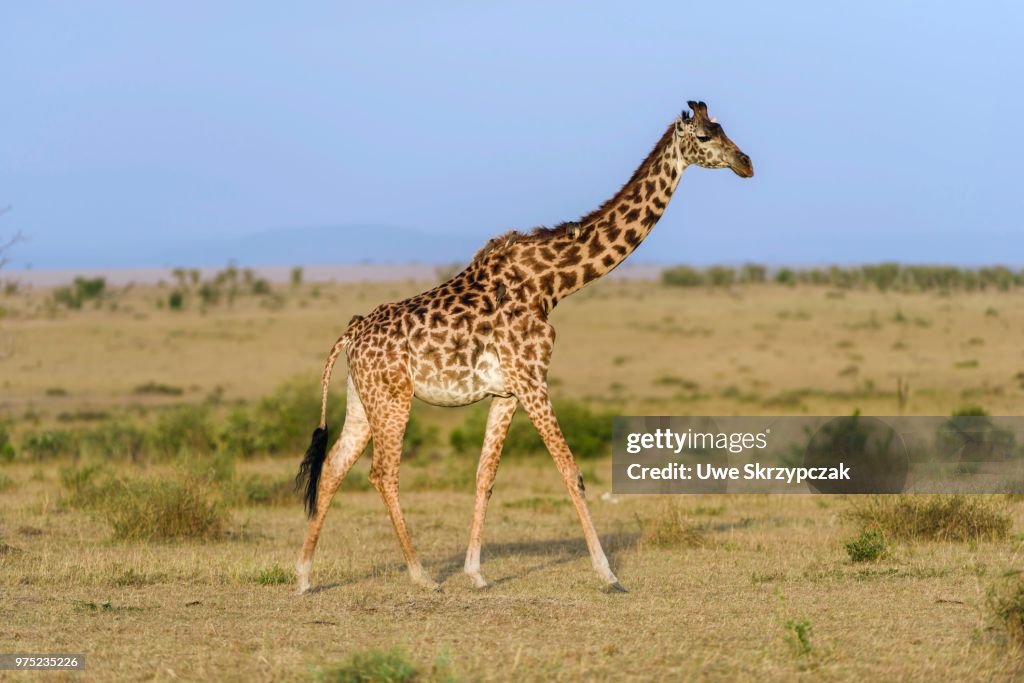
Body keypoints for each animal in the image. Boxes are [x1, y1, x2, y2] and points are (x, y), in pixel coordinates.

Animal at [295, 100, 753, 594]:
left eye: (723, 128)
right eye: (705, 137)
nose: (746, 163)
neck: (552, 285)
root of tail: (351, 332)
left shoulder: (507, 390)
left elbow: (485, 475)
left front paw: (476, 573)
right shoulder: (534, 378)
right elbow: (571, 472)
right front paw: (608, 574)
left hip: (363, 399)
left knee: (333, 466)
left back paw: (303, 576)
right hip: (393, 397)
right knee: (383, 472)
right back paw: (420, 575)